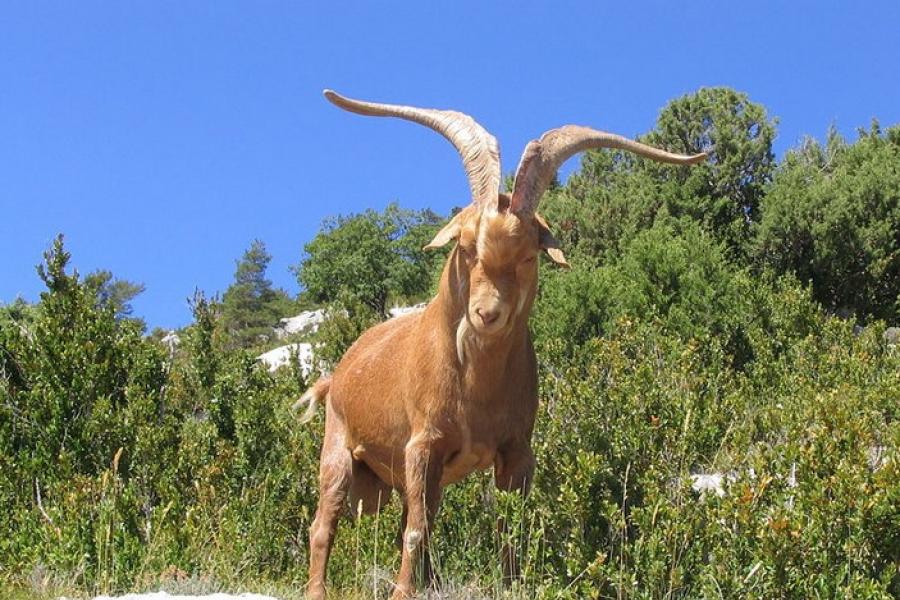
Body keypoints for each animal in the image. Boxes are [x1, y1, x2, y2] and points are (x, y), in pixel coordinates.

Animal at [296, 89, 704, 600]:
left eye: (529, 256)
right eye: (467, 248)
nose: (487, 314)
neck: (475, 388)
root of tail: (336, 375)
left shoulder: (516, 450)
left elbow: (506, 528)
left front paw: (509, 585)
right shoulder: (422, 444)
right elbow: (416, 529)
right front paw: (402, 593)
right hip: (338, 451)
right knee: (324, 524)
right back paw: (318, 588)